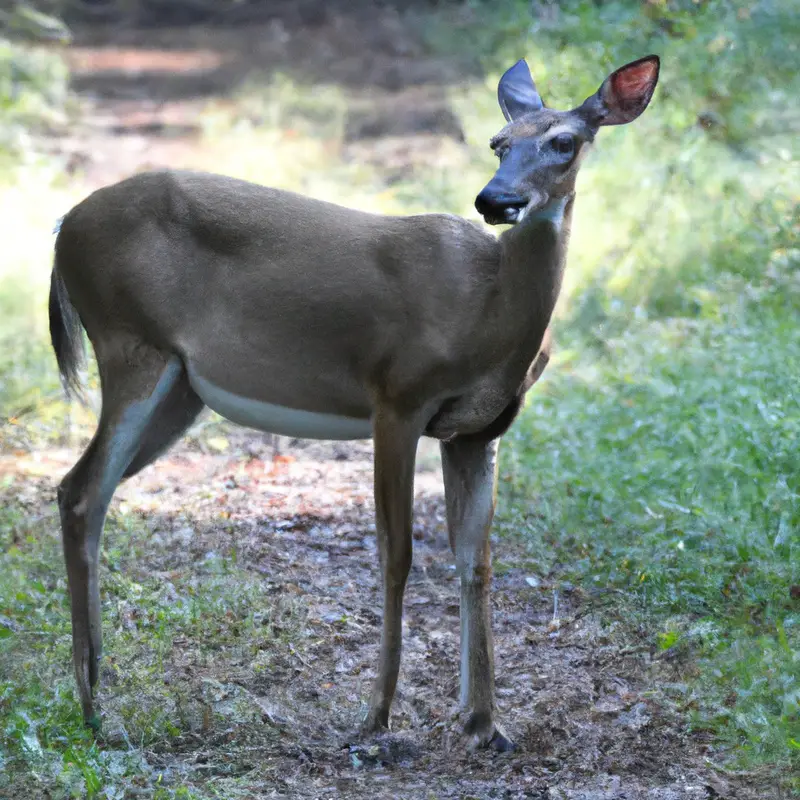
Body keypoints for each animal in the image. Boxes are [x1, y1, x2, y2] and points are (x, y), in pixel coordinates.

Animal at [50, 54, 660, 752]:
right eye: (498, 143)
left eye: (564, 142)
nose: (494, 199)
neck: (489, 314)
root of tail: (64, 227)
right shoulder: (396, 397)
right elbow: (397, 554)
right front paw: (377, 714)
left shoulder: (478, 429)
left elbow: (474, 559)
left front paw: (484, 723)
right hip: (129, 343)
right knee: (83, 489)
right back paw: (93, 705)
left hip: (180, 387)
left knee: (82, 491)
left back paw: (98, 689)